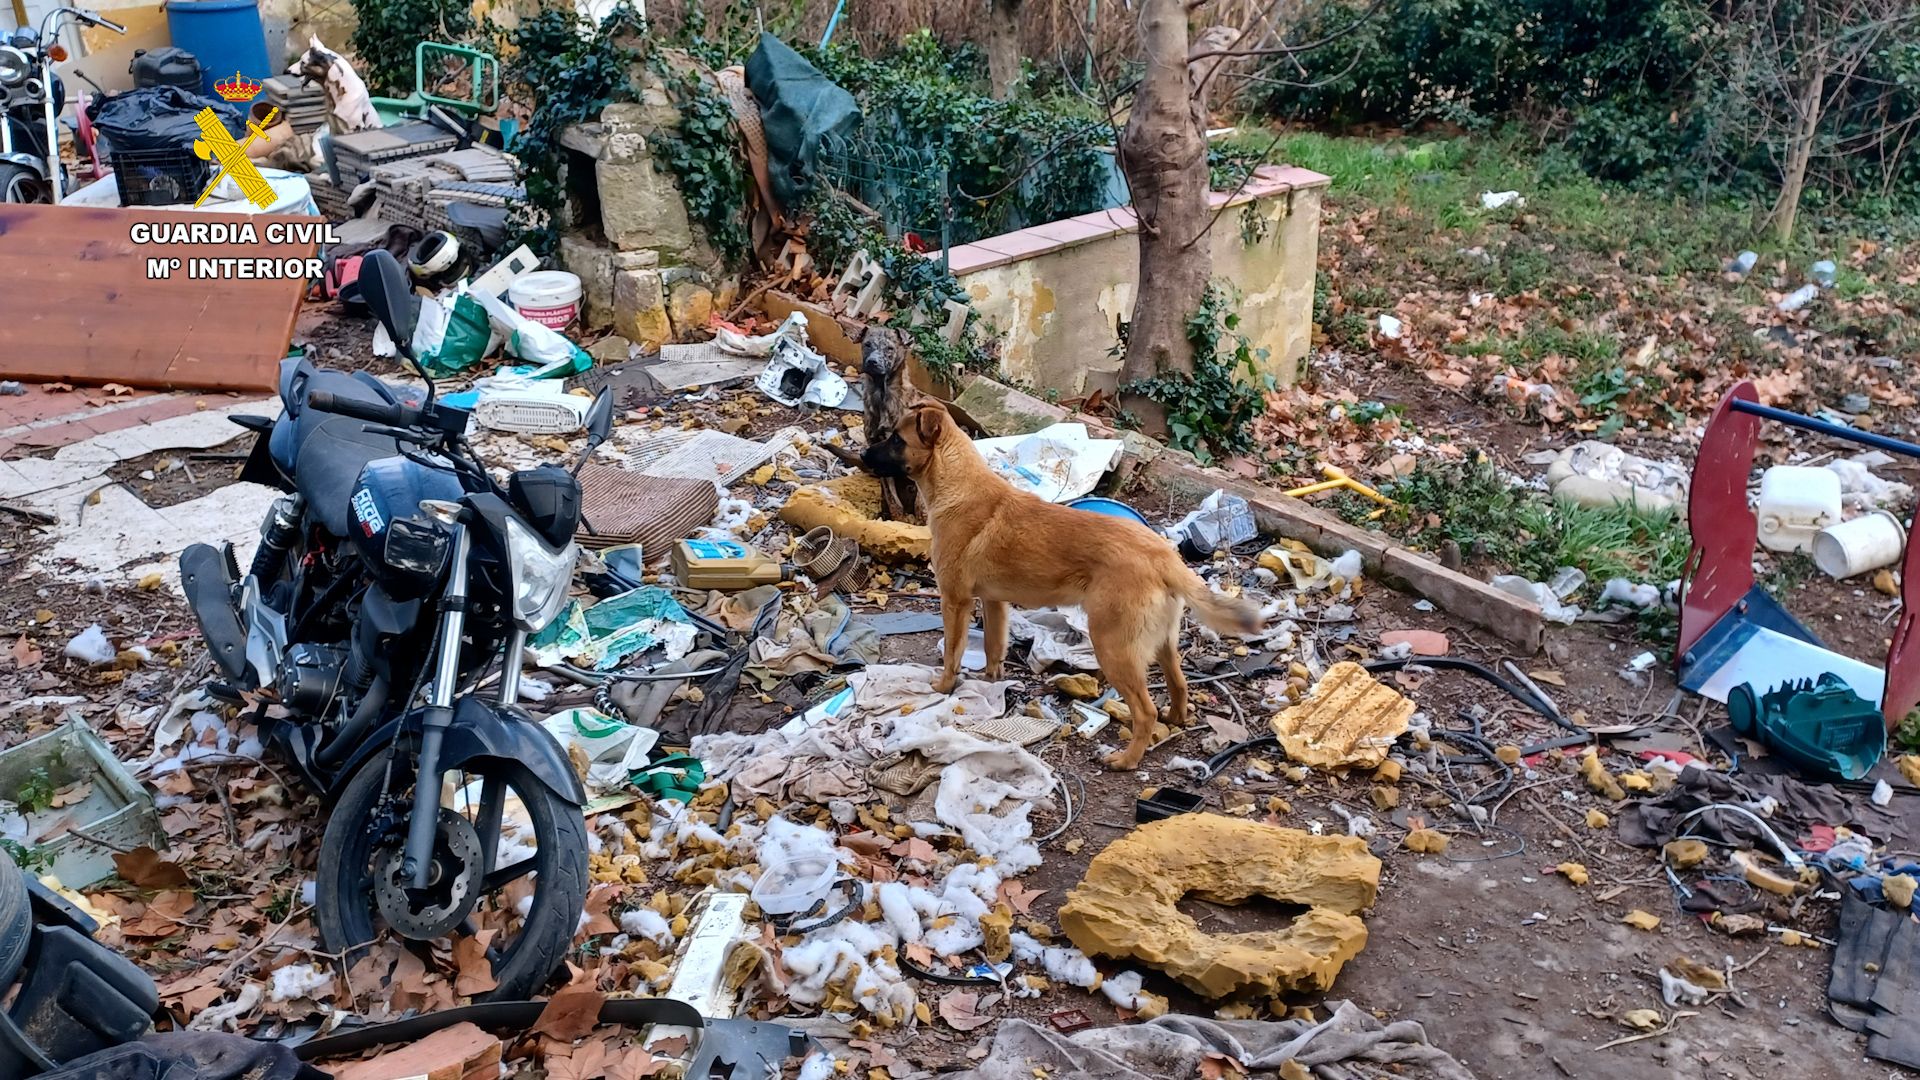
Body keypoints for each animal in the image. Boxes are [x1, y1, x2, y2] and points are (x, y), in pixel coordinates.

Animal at [867, 401, 1259, 764]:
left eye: (897, 439)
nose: (863, 453)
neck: (957, 481)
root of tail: (1163, 555)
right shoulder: (994, 602)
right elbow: (994, 648)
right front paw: (992, 682)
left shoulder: (955, 600)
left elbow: (952, 652)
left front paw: (944, 687)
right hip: (1162, 642)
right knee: (1178, 684)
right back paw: (1175, 719)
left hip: (1112, 646)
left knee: (1144, 711)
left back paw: (1127, 760)